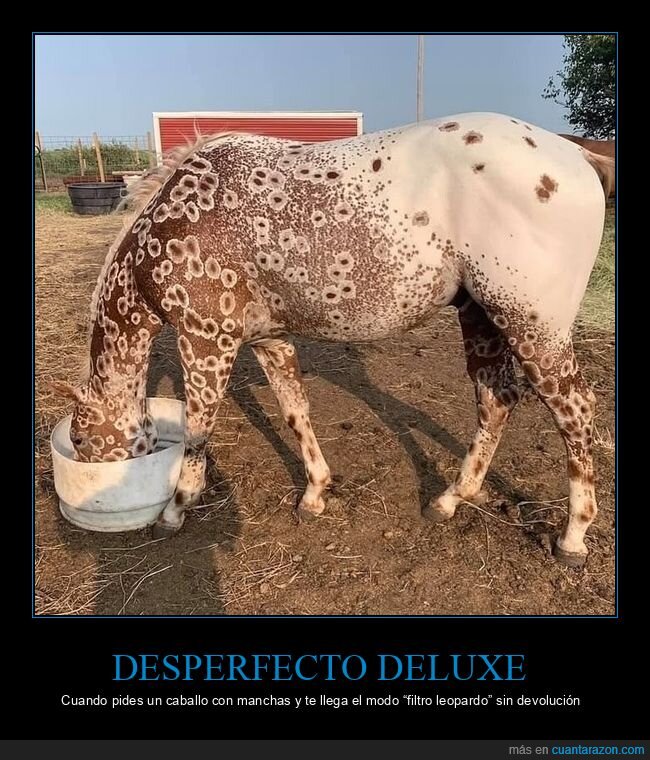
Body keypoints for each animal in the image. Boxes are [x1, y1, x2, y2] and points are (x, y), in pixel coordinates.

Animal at [50, 112, 613, 568]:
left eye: (79, 439)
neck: (168, 227)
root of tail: (577, 155)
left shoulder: (207, 340)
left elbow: (198, 432)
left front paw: (175, 508)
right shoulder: (268, 339)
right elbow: (295, 412)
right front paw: (315, 493)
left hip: (531, 326)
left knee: (575, 409)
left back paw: (573, 538)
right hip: (482, 317)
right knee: (497, 399)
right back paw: (451, 499)